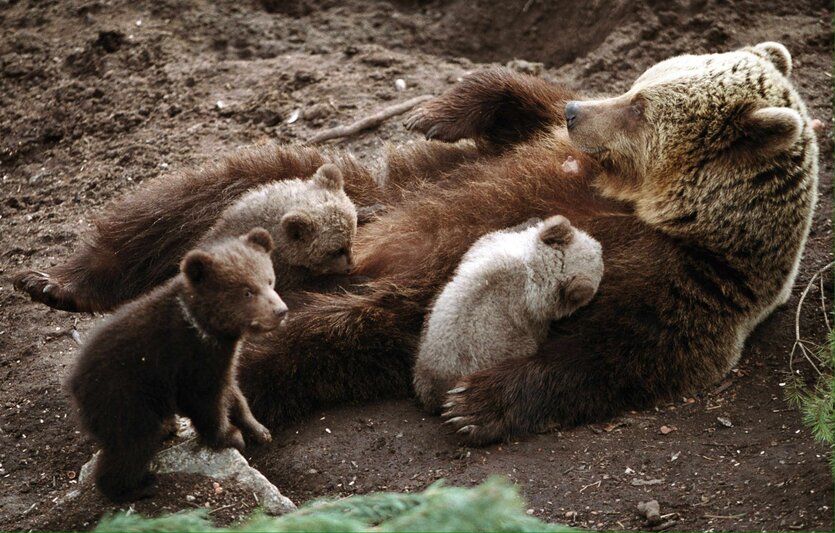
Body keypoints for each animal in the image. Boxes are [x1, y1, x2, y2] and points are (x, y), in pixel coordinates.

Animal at [16, 41, 820, 444]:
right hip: (346, 195)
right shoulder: (536, 154)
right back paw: (64, 280)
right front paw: (439, 108)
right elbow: (513, 101)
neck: (650, 205)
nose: (579, 112)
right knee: (206, 187)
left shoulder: (682, 280)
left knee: (314, 336)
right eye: (641, 81)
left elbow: (617, 353)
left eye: (642, 105)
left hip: (390, 299)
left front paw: (477, 403)